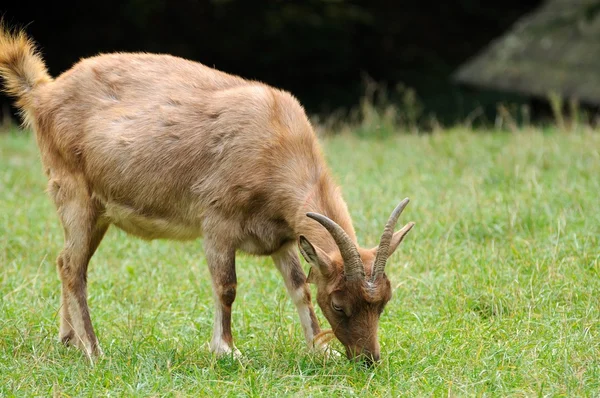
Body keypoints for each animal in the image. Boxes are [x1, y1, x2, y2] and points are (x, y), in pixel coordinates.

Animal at [0, 27, 412, 364]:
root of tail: (44, 94)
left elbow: (299, 288)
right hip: (75, 195)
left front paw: (320, 349)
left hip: (97, 211)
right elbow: (226, 286)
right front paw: (227, 349)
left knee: (66, 261)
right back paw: (93, 349)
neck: (278, 142)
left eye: (384, 301)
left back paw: (68, 340)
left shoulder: (281, 238)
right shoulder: (217, 221)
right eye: (340, 305)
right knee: (73, 267)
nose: (368, 359)